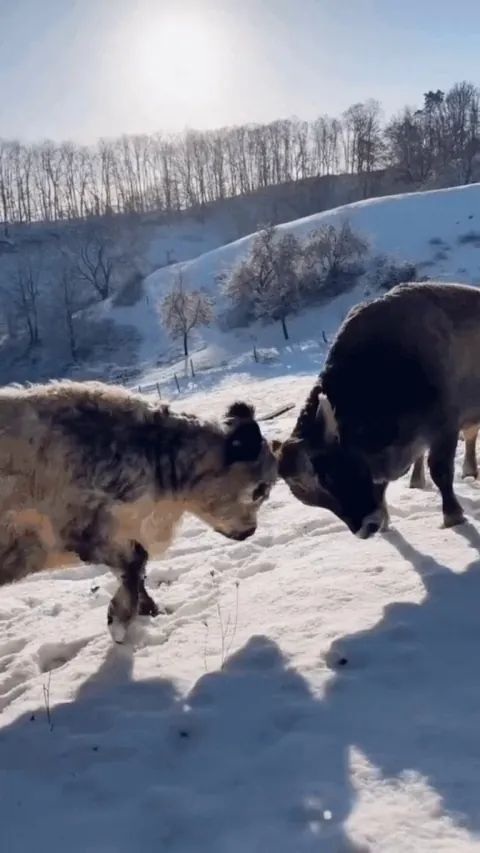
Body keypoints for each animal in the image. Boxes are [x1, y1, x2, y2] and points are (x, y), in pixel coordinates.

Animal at [0, 381, 277, 642]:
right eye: (259, 490)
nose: (250, 531)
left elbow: (137, 567)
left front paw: (149, 610)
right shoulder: (80, 527)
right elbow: (136, 562)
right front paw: (119, 621)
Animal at [274, 281, 480, 539]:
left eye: (330, 475)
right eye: (310, 499)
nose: (365, 527)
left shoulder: (445, 427)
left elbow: (441, 470)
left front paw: (453, 516)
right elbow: (380, 485)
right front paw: (385, 524)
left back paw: (468, 470)